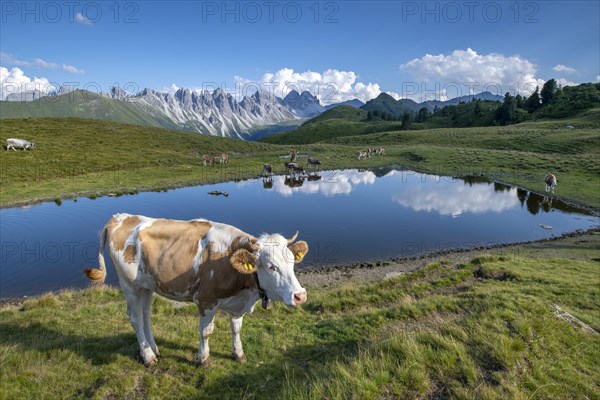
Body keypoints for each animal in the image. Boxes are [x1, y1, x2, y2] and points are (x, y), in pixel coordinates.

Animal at [83, 214, 310, 368]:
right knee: (135, 317)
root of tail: (120, 217)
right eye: (271, 266)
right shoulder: (206, 301)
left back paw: (154, 349)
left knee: (145, 314)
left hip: (147, 285)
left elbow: (236, 328)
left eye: (292, 261)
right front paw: (203, 358)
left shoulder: (237, 304)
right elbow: (206, 332)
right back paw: (148, 357)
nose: (300, 295)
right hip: (130, 285)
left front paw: (238, 354)